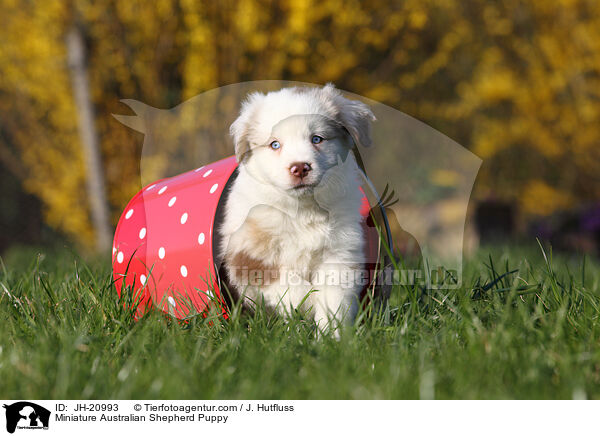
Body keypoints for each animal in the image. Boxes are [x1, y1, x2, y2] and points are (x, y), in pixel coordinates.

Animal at [216, 84, 376, 334]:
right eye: (275, 144)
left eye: (317, 139)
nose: (300, 167)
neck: (303, 209)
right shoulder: (249, 255)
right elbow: (292, 288)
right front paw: (309, 306)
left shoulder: (339, 252)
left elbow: (334, 298)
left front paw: (331, 336)